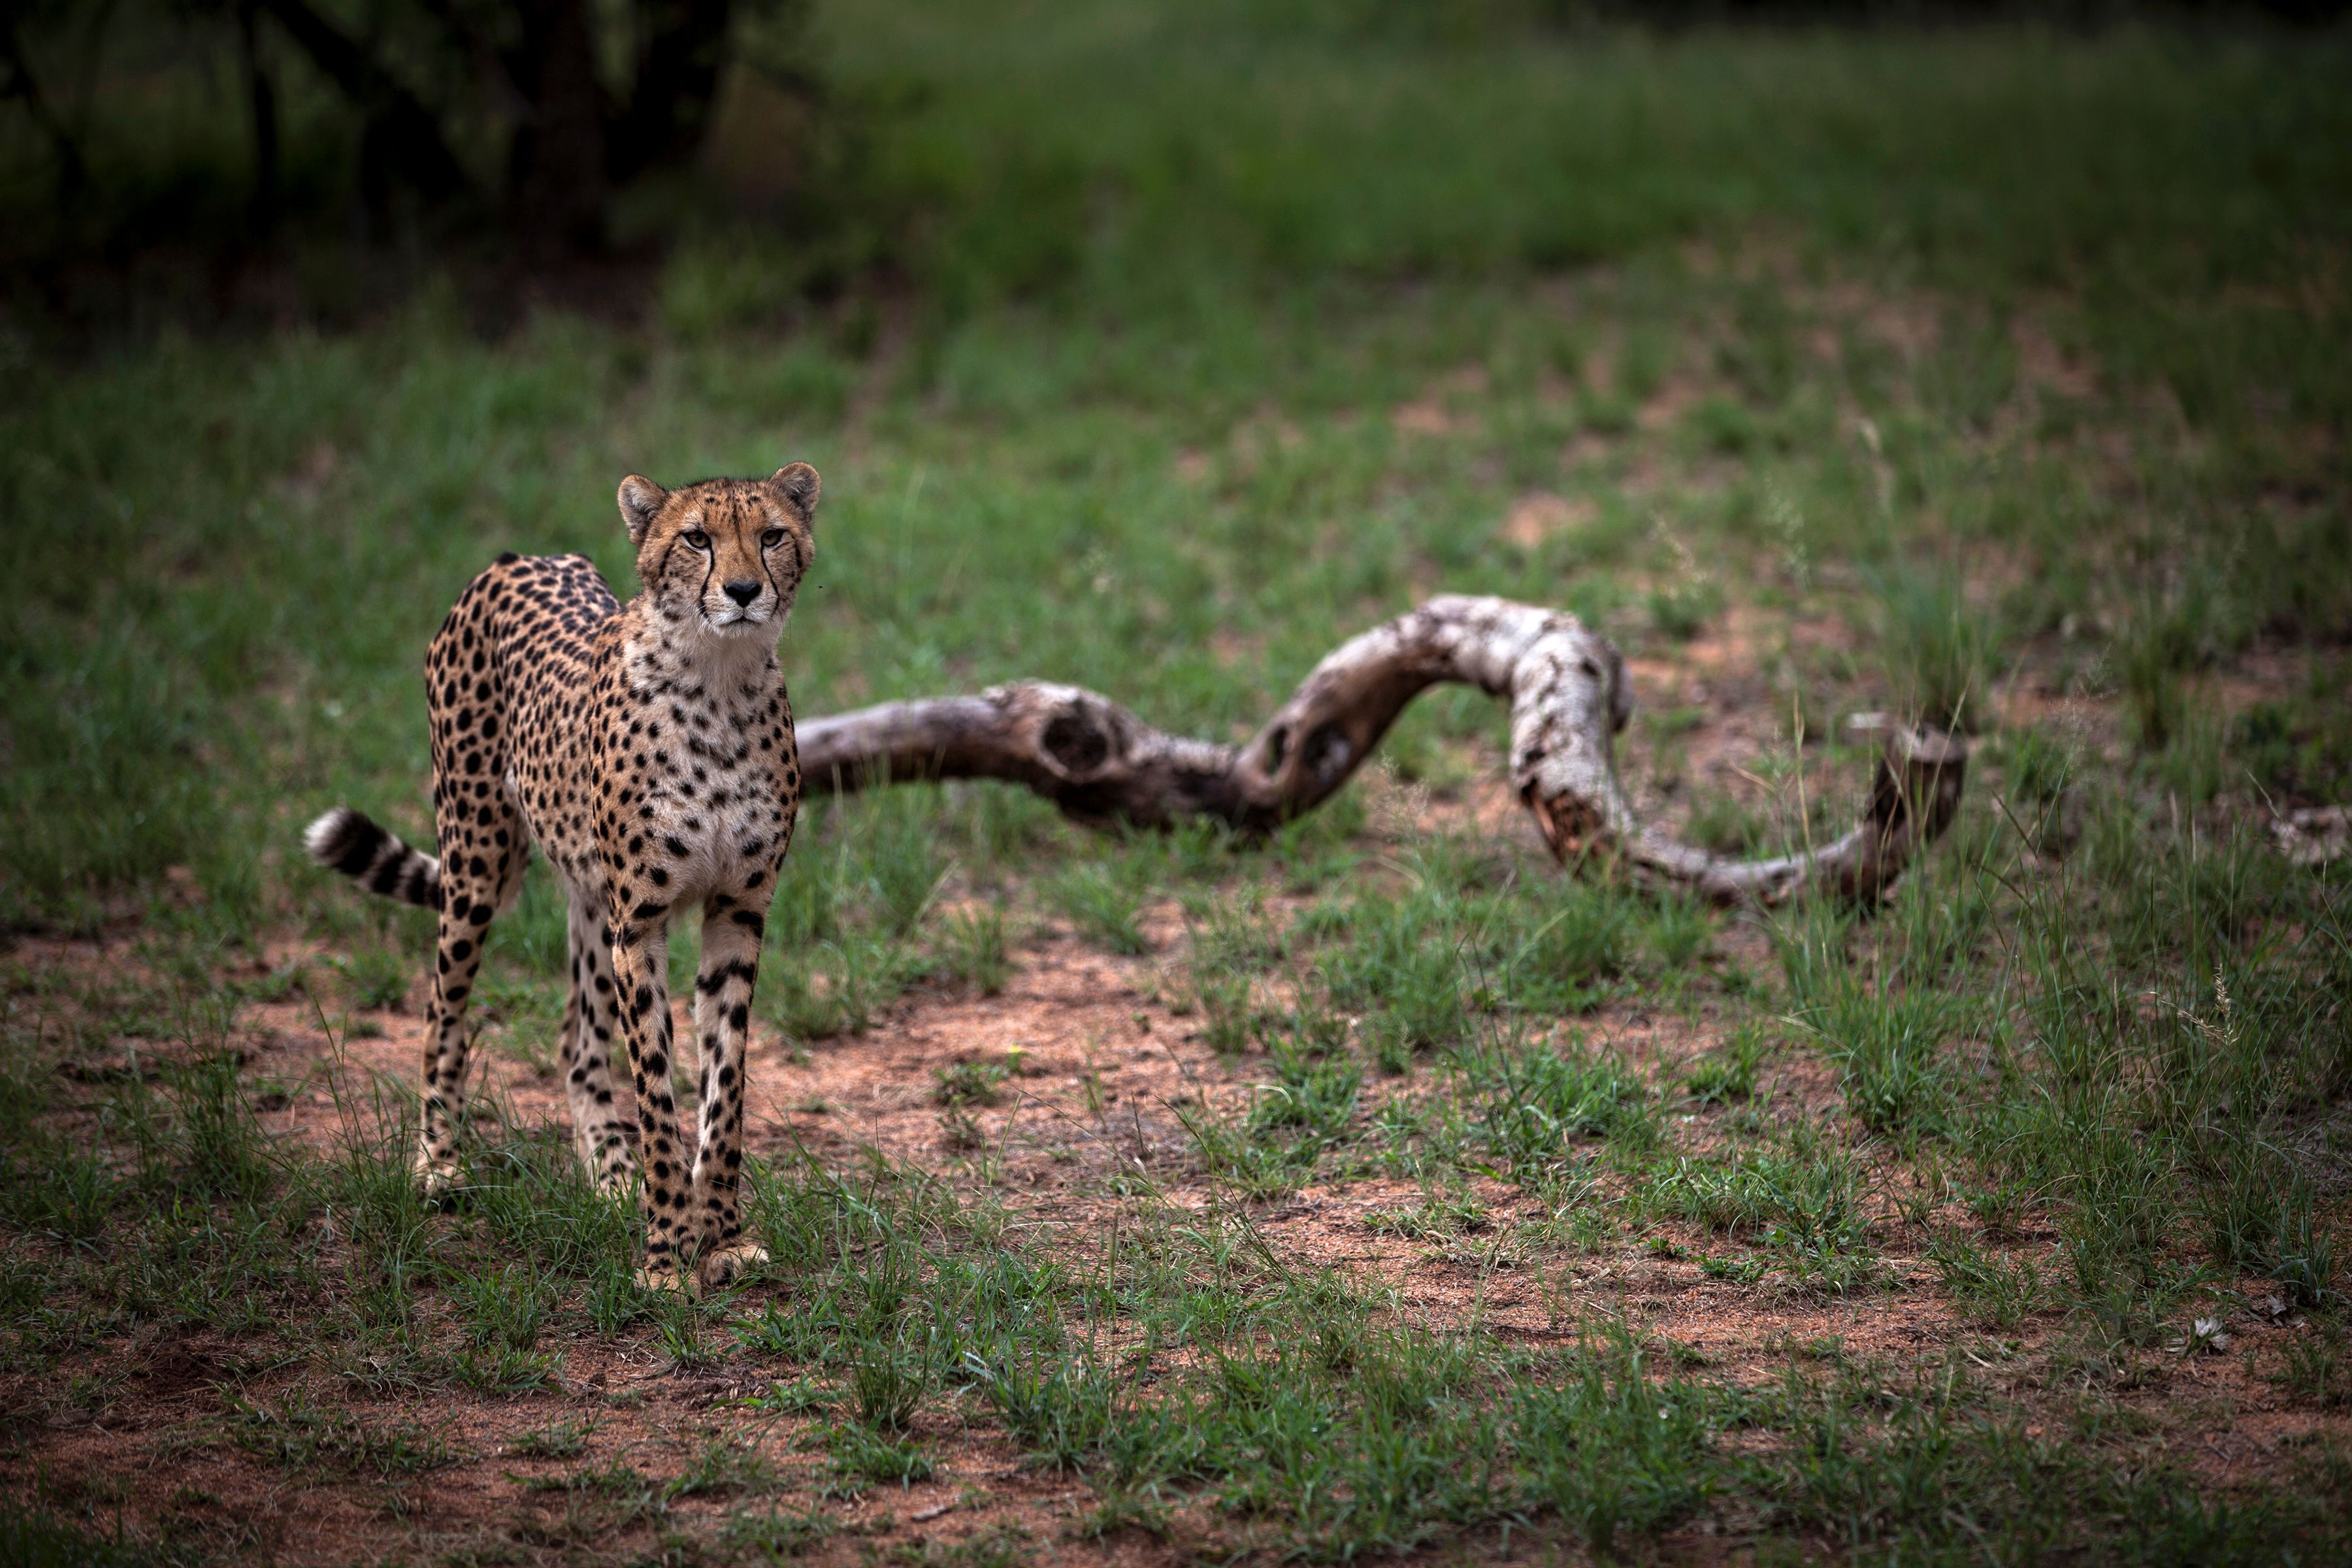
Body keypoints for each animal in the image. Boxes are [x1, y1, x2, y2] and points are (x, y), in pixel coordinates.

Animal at [306, 470, 818, 1298]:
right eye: (696, 538)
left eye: (771, 535)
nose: (743, 591)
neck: (719, 676)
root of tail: (523, 556)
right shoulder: (642, 923)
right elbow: (659, 1093)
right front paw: (667, 1257)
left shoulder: (737, 912)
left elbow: (725, 1088)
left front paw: (723, 1237)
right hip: (478, 857)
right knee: (441, 1010)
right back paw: (438, 1164)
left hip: (588, 898)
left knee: (577, 1044)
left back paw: (610, 1173)